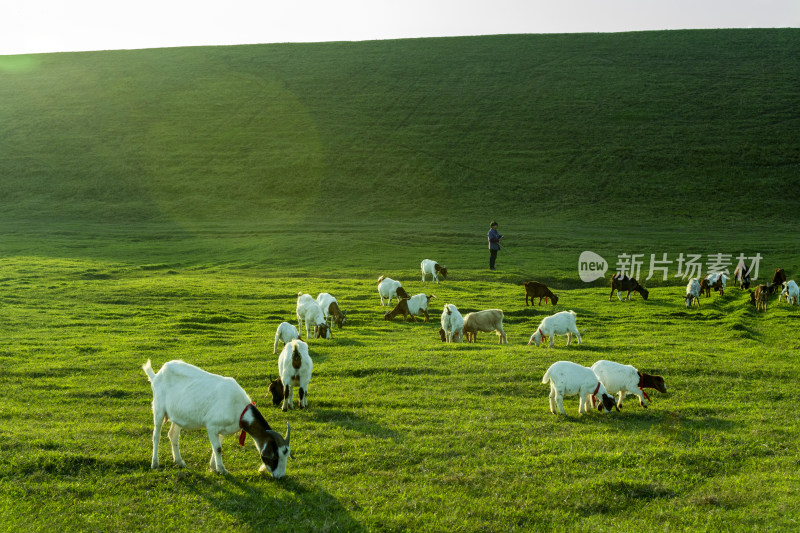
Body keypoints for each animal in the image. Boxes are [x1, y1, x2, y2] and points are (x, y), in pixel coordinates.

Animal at [142, 358, 292, 478]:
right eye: (275, 455)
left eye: (286, 455)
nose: (280, 476)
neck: (239, 409)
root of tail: (156, 375)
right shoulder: (211, 426)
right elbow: (218, 449)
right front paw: (222, 470)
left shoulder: (221, 429)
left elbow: (217, 447)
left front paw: (214, 467)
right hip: (158, 408)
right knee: (156, 435)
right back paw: (155, 463)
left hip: (178, 415)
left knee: (173, 435)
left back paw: (180, 462)